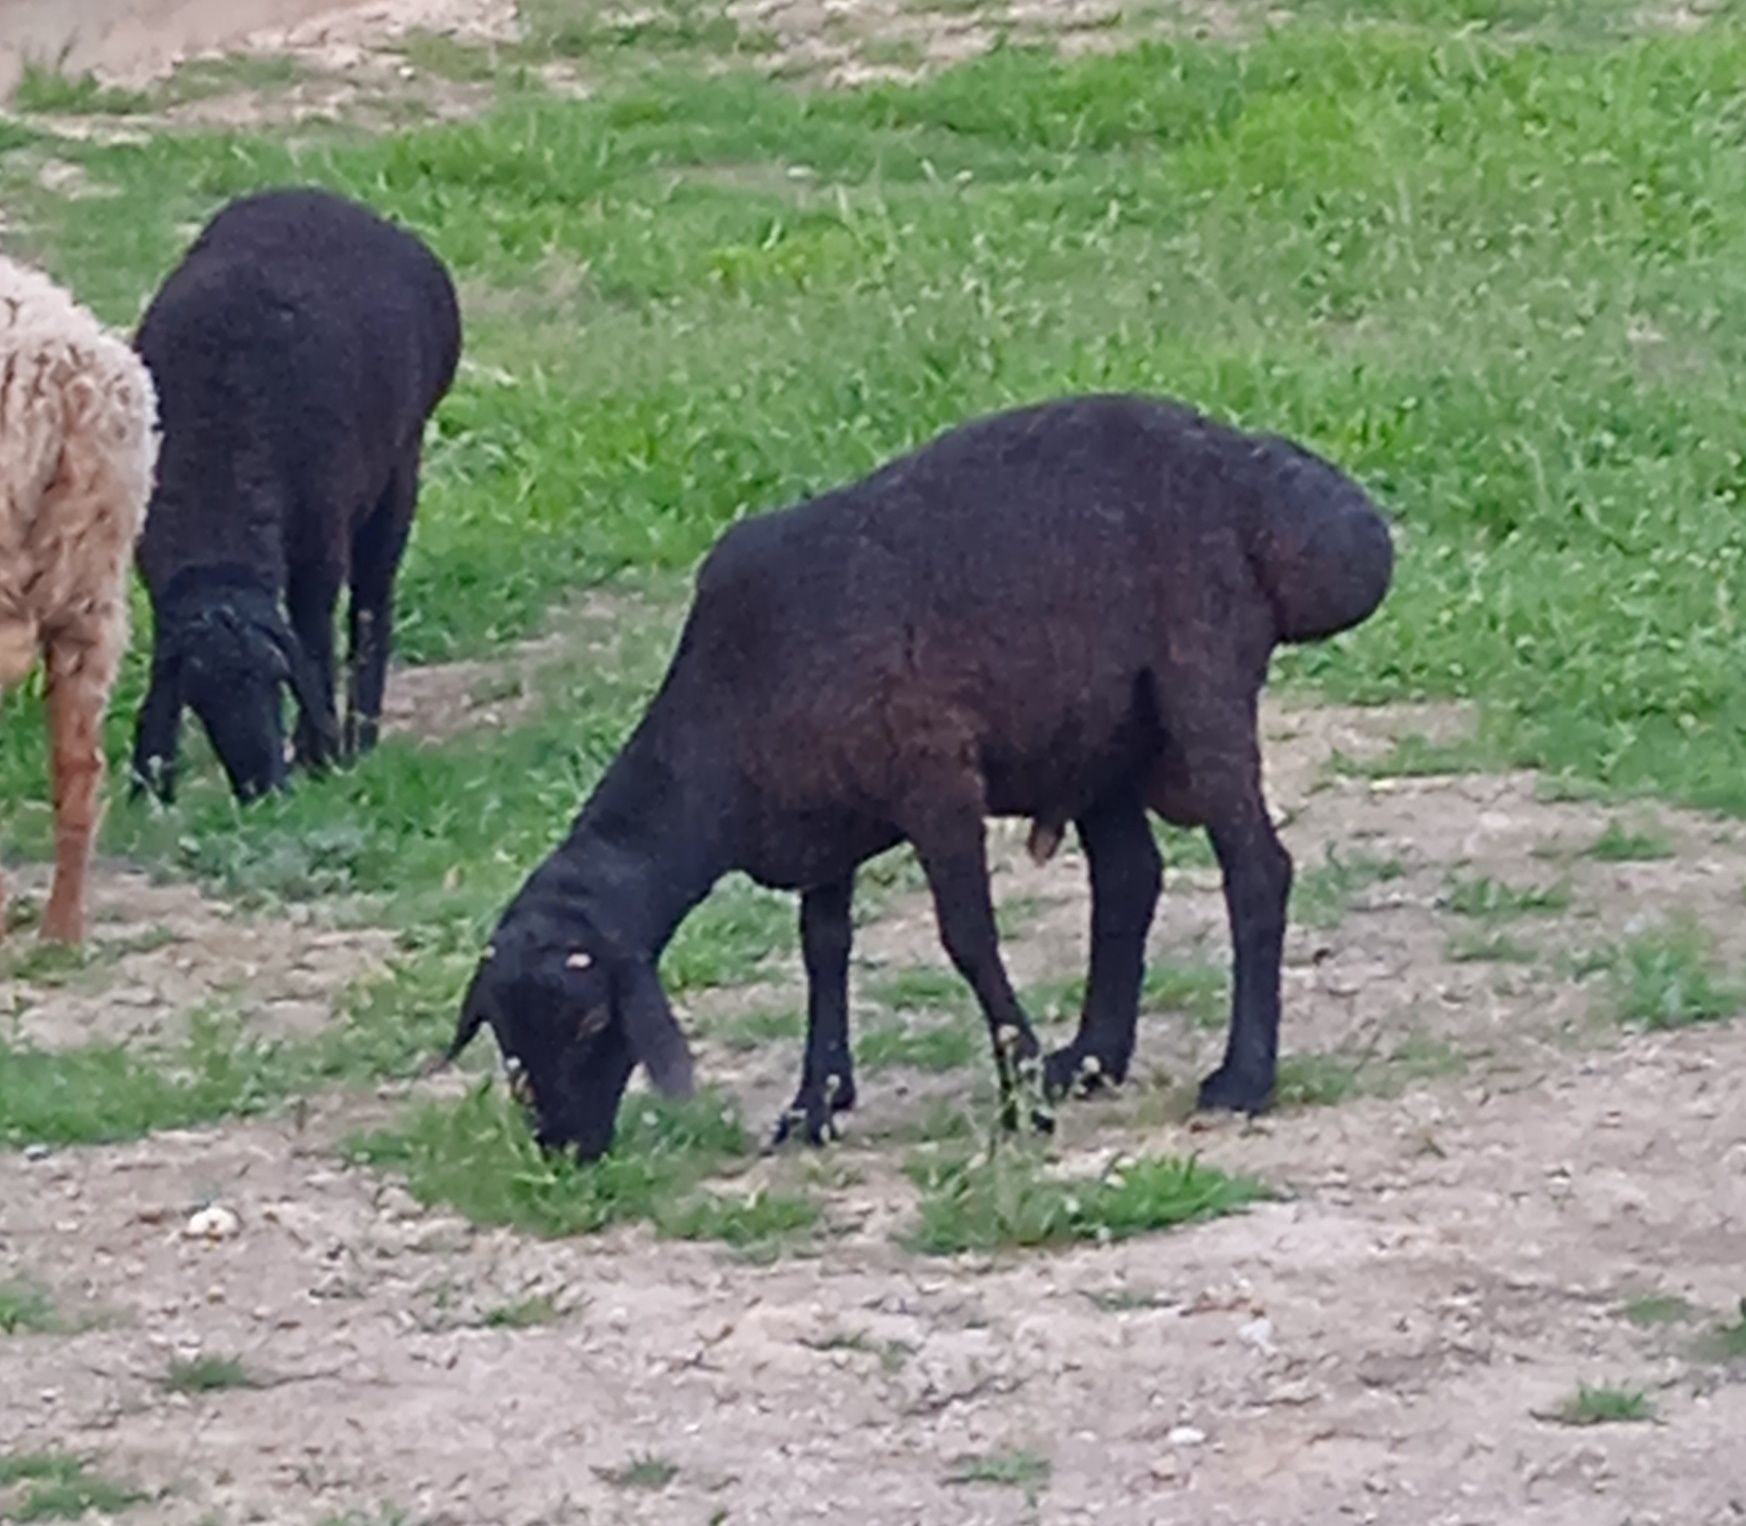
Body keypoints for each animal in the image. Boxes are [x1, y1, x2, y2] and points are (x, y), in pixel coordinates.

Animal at [439, 392, 1389, 1152]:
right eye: (504, 1035)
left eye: (595, 1019)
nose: (564, 1150)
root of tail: (1253, 473)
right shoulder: (821, 831)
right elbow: (823, 951)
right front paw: (816, 1104)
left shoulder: (934, 782)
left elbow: (968, 939)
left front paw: (1018, 1099)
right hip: (1098, 732)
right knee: (1128, 878)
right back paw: (1088, 1060)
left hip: (1201, 681)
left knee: (1256, 868)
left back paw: (1240, 1078)